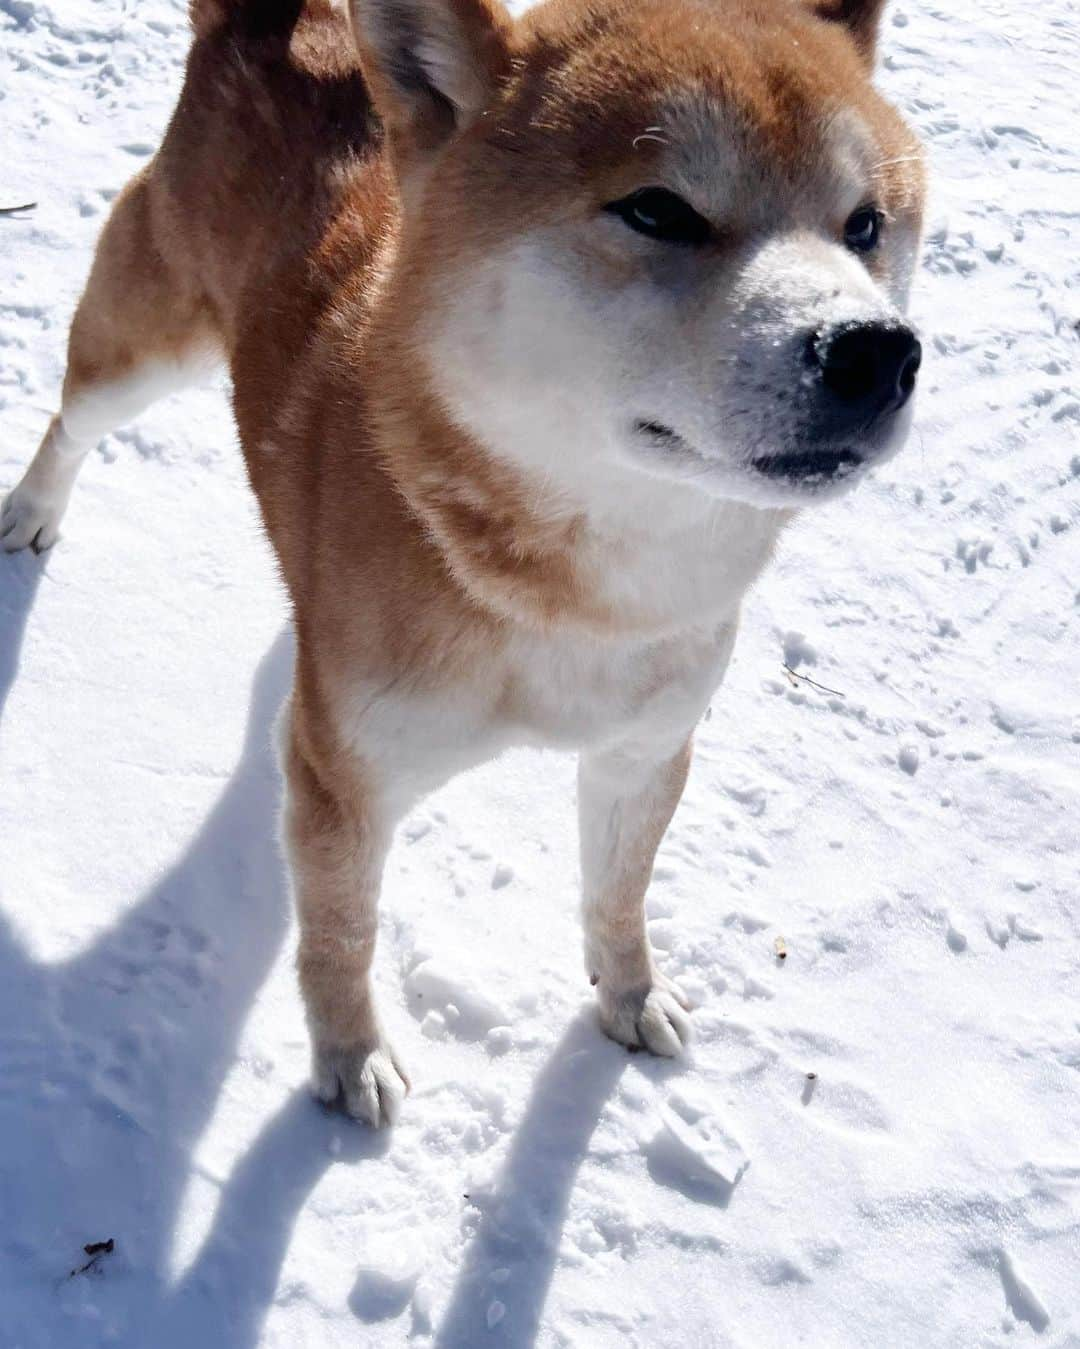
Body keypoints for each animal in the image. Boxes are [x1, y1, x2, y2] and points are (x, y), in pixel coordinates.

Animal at [2, 0, 927, 1122]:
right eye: (658, 210)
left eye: (865, 224)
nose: (875, 350)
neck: (567, 596)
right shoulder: (345, 778)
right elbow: (341, 936)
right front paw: (350, 1055)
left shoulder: (645, 748)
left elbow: (619, 893)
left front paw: (629, 995)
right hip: (141, 350)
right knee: (71, 420)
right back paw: (32, 508)